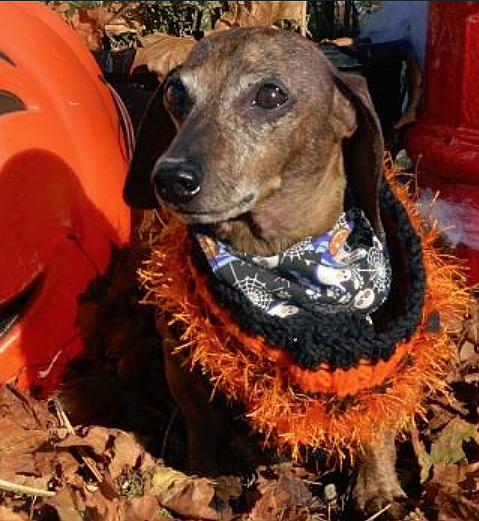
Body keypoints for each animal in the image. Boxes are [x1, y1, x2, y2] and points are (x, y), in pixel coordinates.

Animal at [125, 27, 414, 516]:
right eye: (176, 93)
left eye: (270, 94)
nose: (170, 178)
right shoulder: (180, 357)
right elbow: (204, 425)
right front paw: (209, 480)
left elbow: (374, 422)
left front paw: (378, 488)